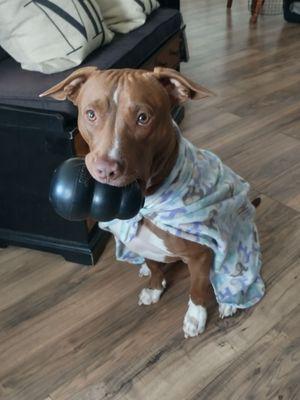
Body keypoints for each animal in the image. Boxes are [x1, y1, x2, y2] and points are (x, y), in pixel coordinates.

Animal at [41, 68, 264, 338]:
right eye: (91, 114)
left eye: (143, 118)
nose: (105, 169)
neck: (148, 202)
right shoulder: (140, 244)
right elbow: (154, 266)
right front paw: (155, 286)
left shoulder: (200, 256)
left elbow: (197, 289)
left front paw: (195, 317)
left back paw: (229, 303)